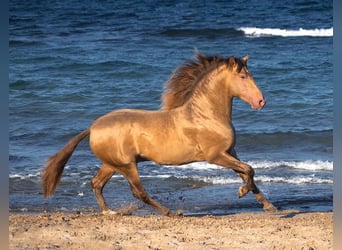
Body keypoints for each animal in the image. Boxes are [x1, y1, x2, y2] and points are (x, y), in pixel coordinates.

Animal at [42, 52, 278, 215]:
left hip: (111, 164)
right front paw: (241, 192)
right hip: (127, 165)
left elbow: (247, 173)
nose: (261, 101)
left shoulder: (230, 152)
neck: (206, 115)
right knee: (137, 191)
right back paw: (170, 212)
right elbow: (249, 170)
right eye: (243, 76)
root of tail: (93, 127)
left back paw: (110, 212)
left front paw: (268, 206)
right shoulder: (215, 156)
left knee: (96, 184)